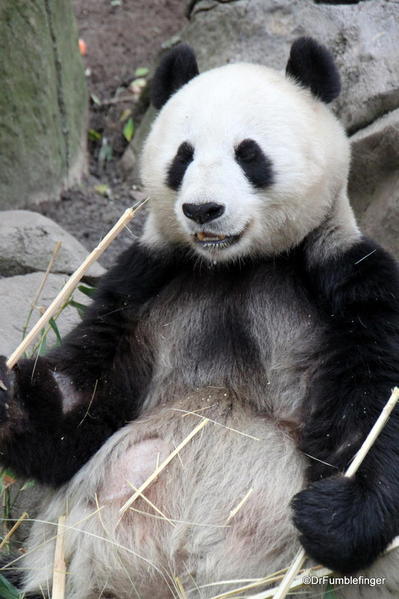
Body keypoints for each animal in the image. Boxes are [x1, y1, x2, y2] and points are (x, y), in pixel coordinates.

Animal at [1, 36, 399, 599]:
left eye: (249, 153)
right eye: (182, 156)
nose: (203, 210)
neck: (233, 266)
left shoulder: (345, 279)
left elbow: (374, 403)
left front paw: (336, 515)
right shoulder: (142, 284)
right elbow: (82, 403)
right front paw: (11, 399)